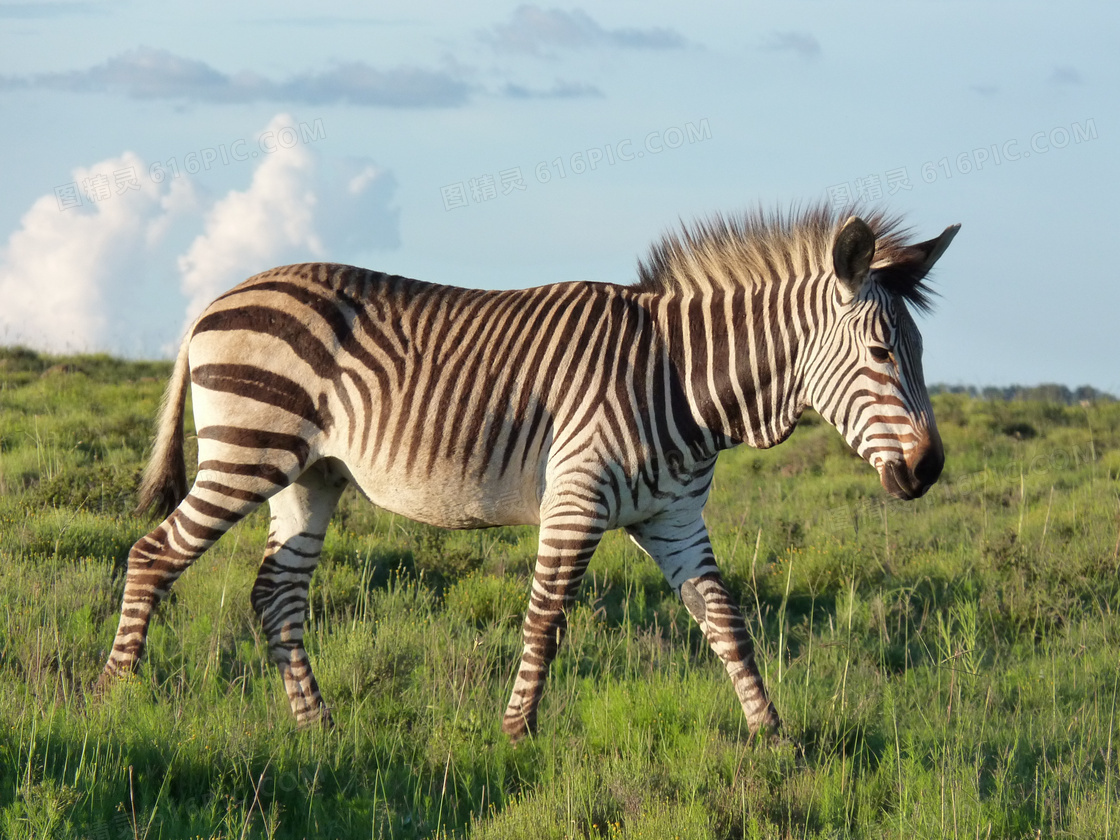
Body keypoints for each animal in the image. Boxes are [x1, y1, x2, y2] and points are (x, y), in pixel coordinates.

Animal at [96, 206, 958, 743]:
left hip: (310, 476)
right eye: (882, 353)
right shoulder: (577, 495)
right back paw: (116, 698)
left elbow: (725, 621)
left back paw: (317, 726)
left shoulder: (673, 518)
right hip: (250, 450)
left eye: (920, 352)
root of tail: (218, 299)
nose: (929, 470)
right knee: (153, 556)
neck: (679, 377)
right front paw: (517, 730)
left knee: (275, 592)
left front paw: (773, 735)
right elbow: (547, 617)